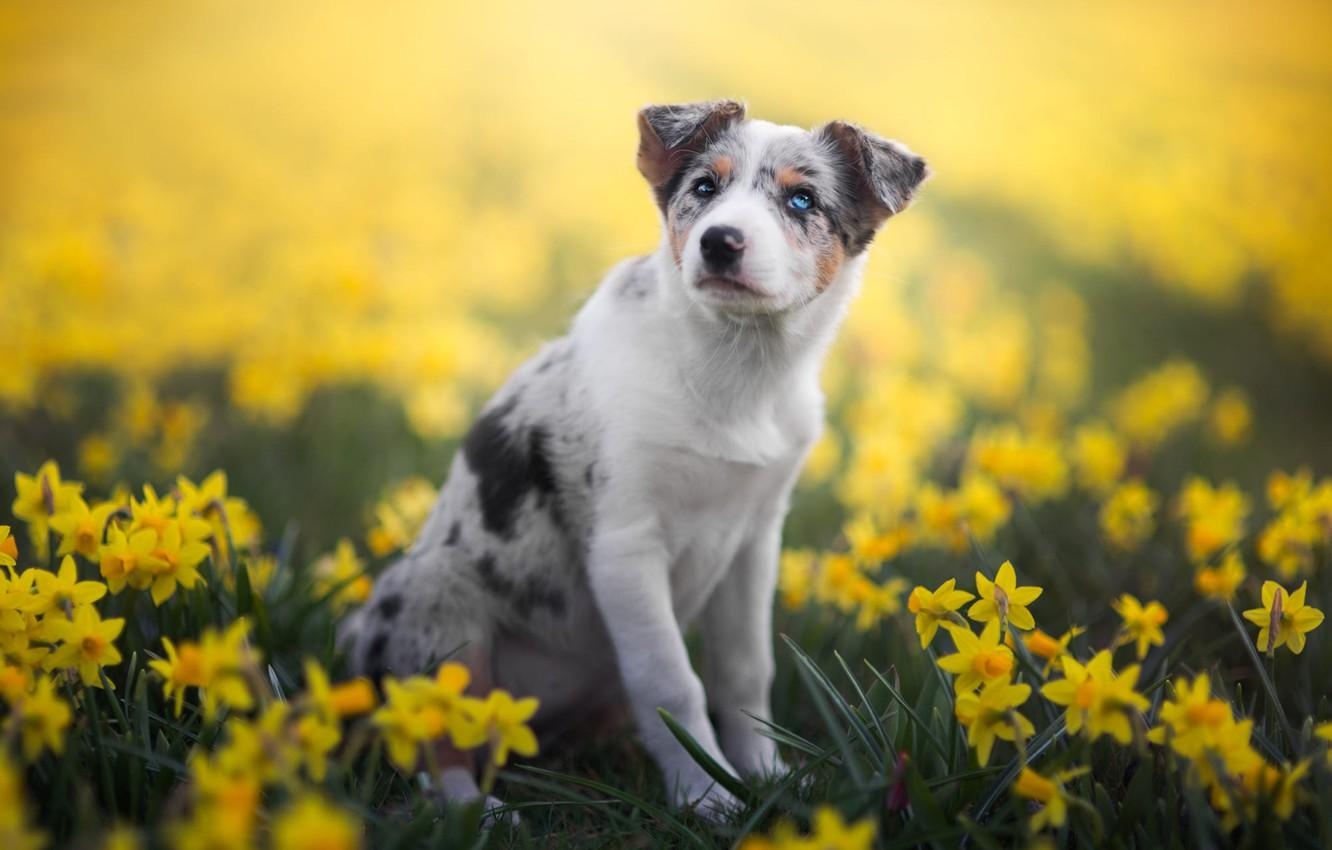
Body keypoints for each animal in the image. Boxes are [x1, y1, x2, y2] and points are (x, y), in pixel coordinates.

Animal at [348, 98, 932, 820]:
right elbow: (670, 682)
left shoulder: (755, 538)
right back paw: (482, 815)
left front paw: (768, 775)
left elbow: (744, 669)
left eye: (802, 200)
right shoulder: (626, 543)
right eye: (704, 188)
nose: (720, 242)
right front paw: (706, 797)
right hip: (432, 598)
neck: (736, 370)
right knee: (435, 741)